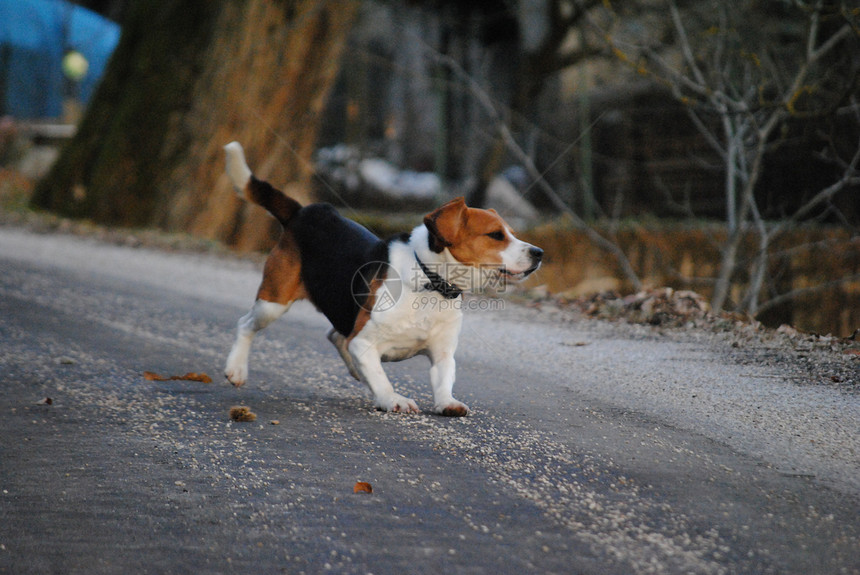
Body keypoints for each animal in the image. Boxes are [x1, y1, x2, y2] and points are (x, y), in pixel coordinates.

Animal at [225, 142, 540, 416]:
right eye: (496, 235)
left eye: (512, 233)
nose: (539, 253)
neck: (430, 283)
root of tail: (305, 212)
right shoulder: (363, 342)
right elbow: (379, 374)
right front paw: (392, 399)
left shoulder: (442, 352)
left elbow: (443, 379)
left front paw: (446, 402)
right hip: (273, 302)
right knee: (245, 324)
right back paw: (236, 369)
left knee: (335, 335)